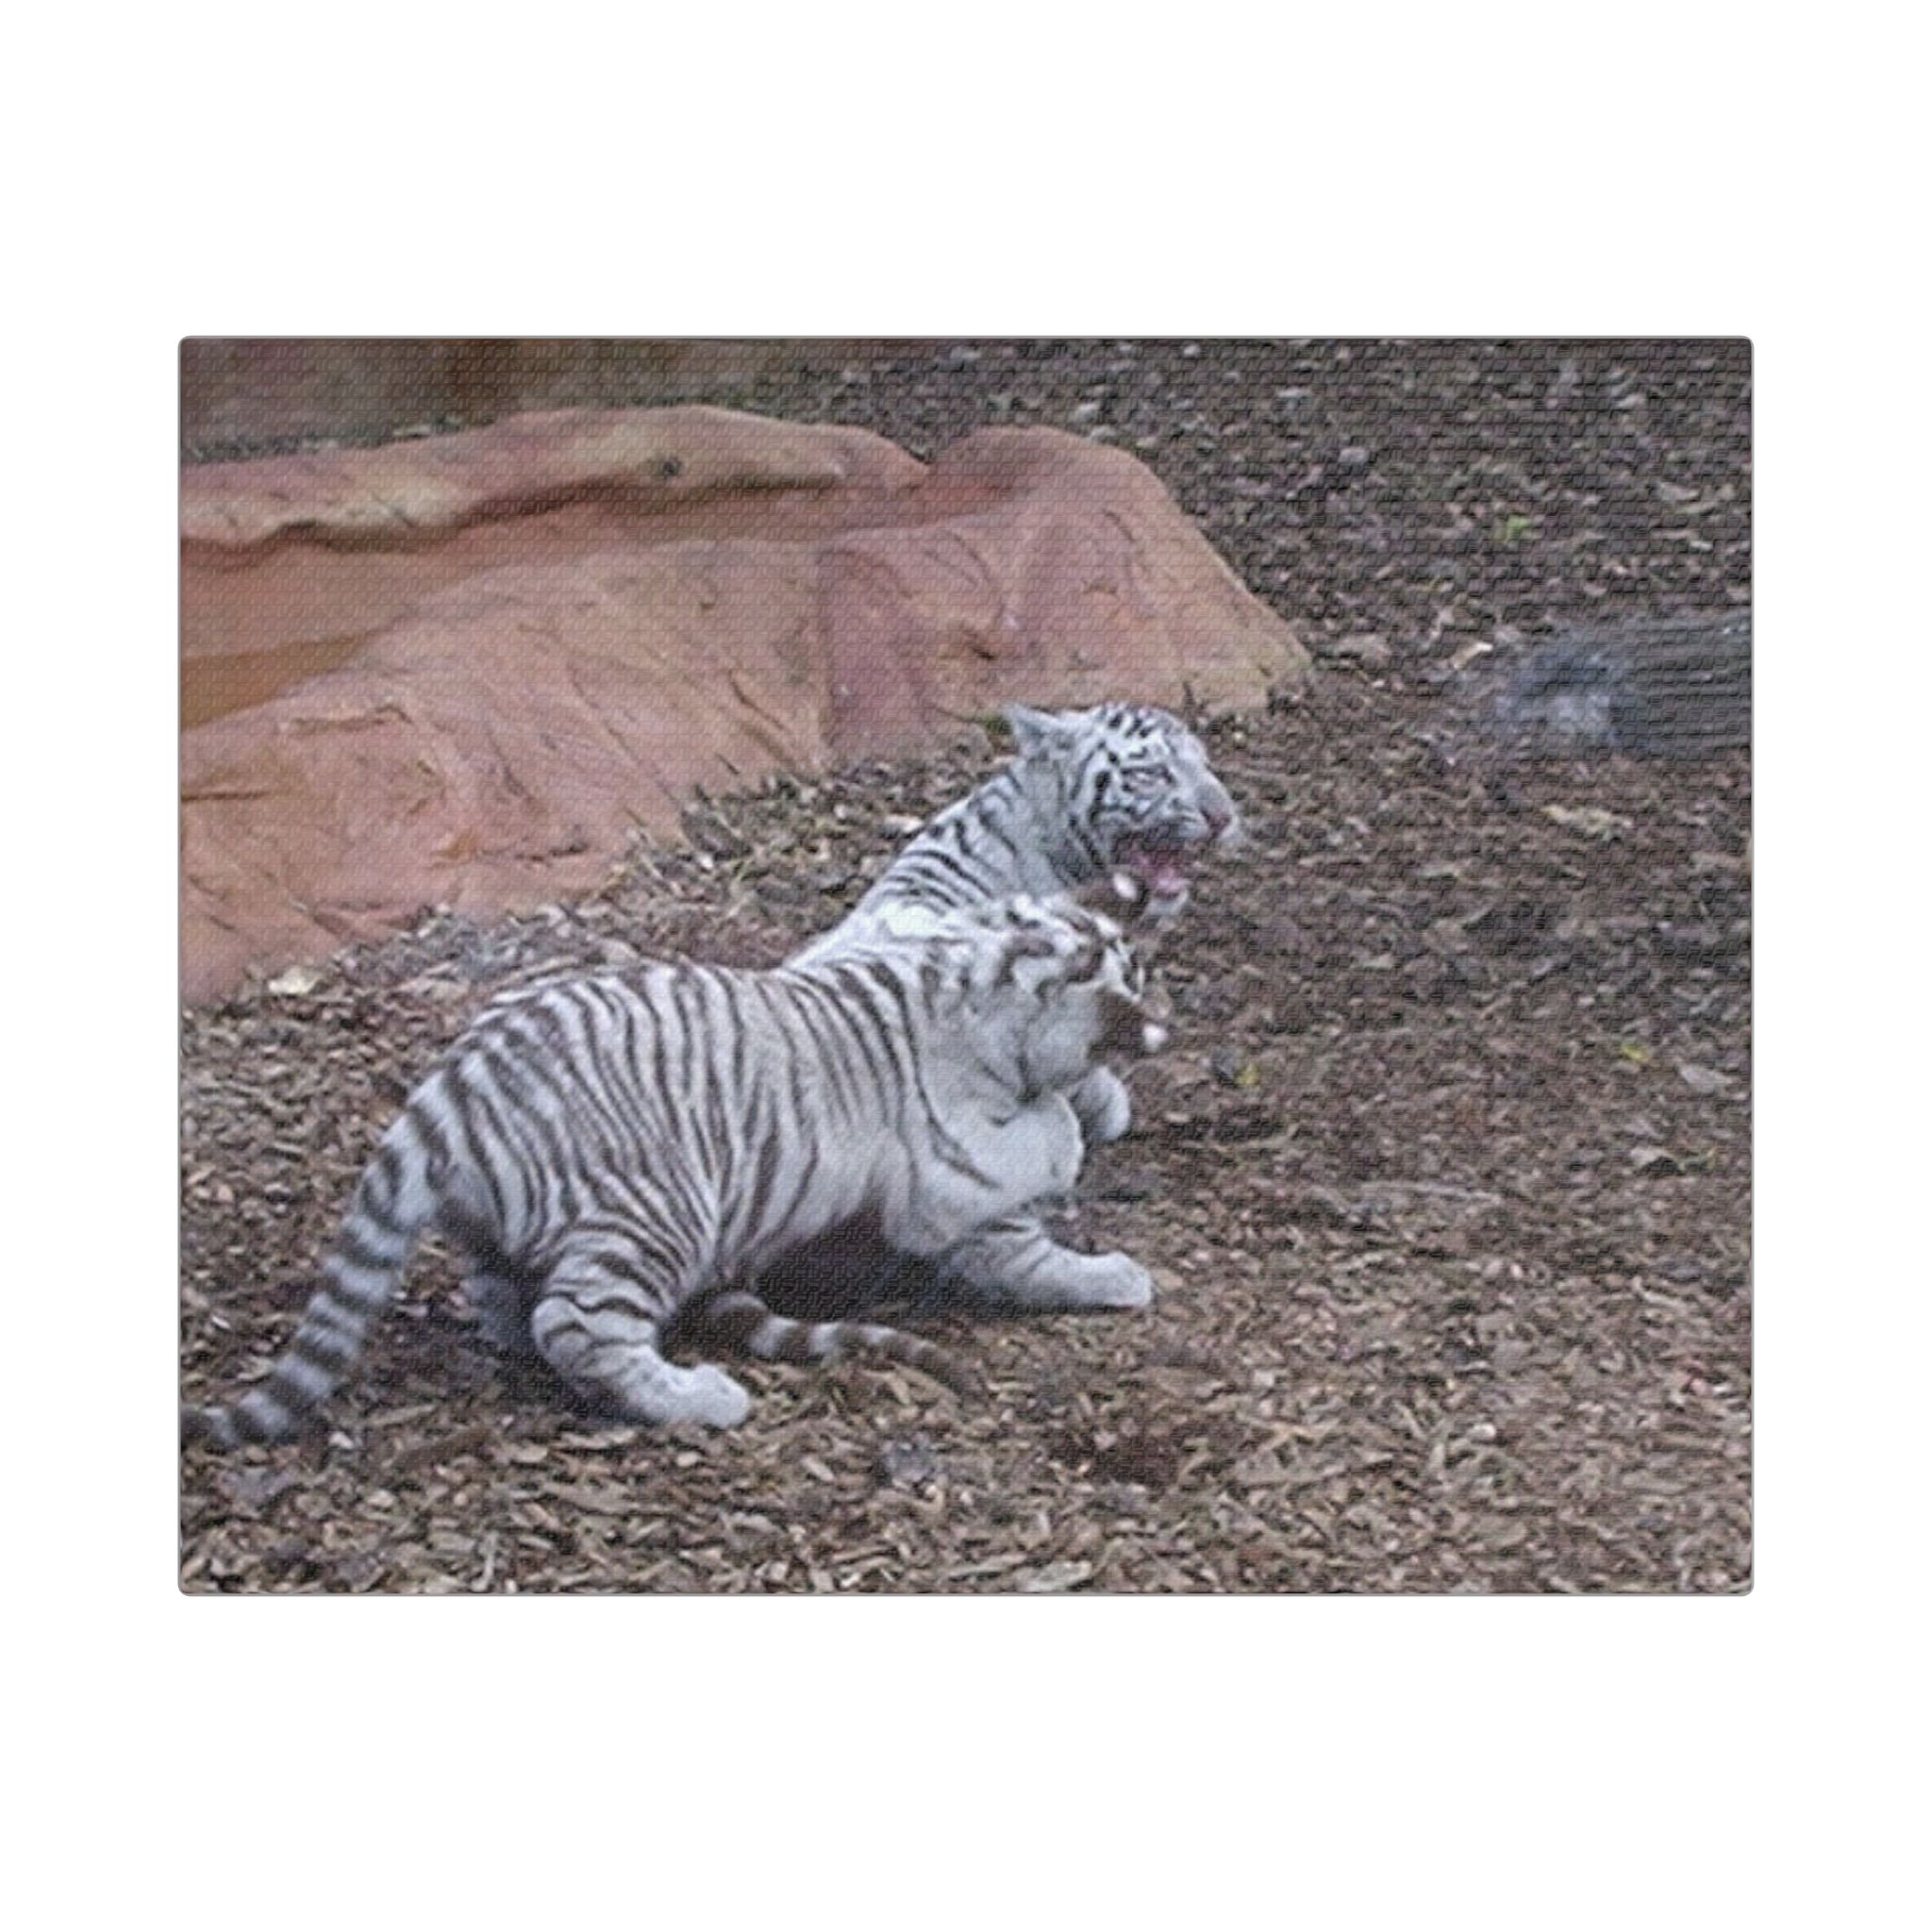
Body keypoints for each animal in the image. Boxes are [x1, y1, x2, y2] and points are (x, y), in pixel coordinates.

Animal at [182, 885, 1170, 1446]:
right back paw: (696, 1397)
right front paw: (1114, 1269)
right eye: (1127, 980)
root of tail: (454, 1085)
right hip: (657, 1213)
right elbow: (1032, 1233)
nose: (1162, 1023)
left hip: (509, 1227)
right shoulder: (963, 1188)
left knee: (509, 1304)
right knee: (577, 1324)